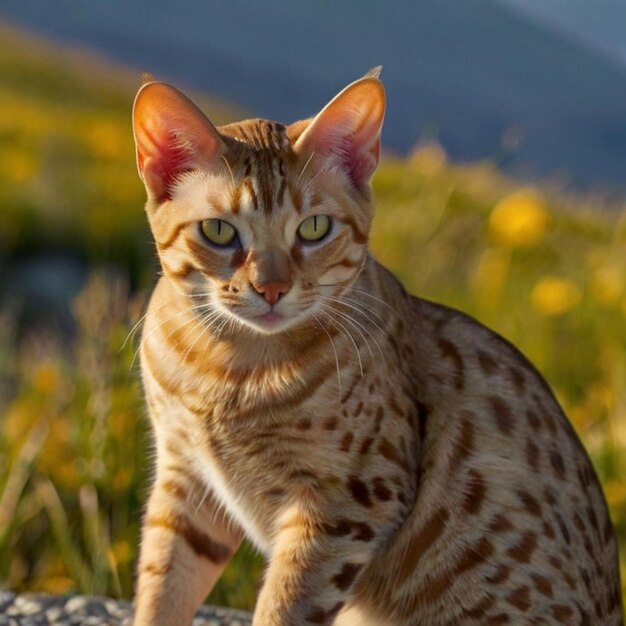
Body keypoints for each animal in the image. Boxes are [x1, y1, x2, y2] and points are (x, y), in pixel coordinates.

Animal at [130, 69, 620, 624]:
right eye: (218, 230)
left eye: (314, 227)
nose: (272, 288)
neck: (227, 369)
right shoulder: (184, 478)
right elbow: (161, 586)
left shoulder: (348, 505)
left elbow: (284, 607)